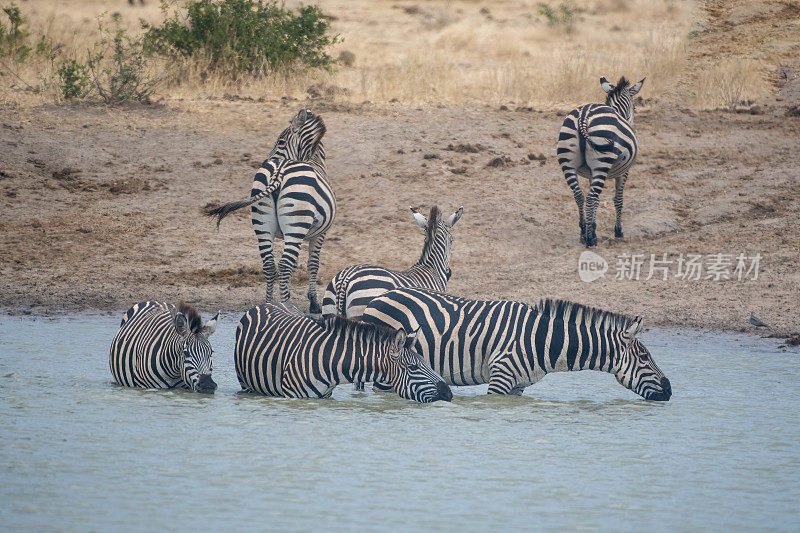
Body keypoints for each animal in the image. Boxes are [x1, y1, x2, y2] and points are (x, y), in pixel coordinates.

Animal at [206, 109, 334, 314]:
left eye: (280, 142)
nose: (266, 159)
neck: (312, 159)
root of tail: (279, 171)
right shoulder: (320, 233)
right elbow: (313, 265)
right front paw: (314, 303)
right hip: (296, 224)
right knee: (285, 264)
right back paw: (286, 306)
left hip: (262, 222)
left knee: (269, 265)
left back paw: (270, 305)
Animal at [234, 302, 454, 402]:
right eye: (413, 367)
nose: (449, 393)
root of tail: (265, 303)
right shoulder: (294, 397)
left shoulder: (325, 397)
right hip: (246, 383)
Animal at [360, 288, 668, 402]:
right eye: (644, 357)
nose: (669, 391)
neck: (545, 340)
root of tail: (380, 297)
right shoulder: (501, 375)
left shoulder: (518, 384)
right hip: (386, 373)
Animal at [560, 76, 648, 246]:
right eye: (634, 106)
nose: (631, 122)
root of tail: (583, 116)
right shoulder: (624, 172)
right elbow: (618, 199)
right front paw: (618, 231)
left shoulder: (590, 173)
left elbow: (596, 199)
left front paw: (592, 226)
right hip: (602, 162)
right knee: (591, 197)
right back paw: (590, 239)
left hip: (568, 163)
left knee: (580, 195)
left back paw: (583, 231)